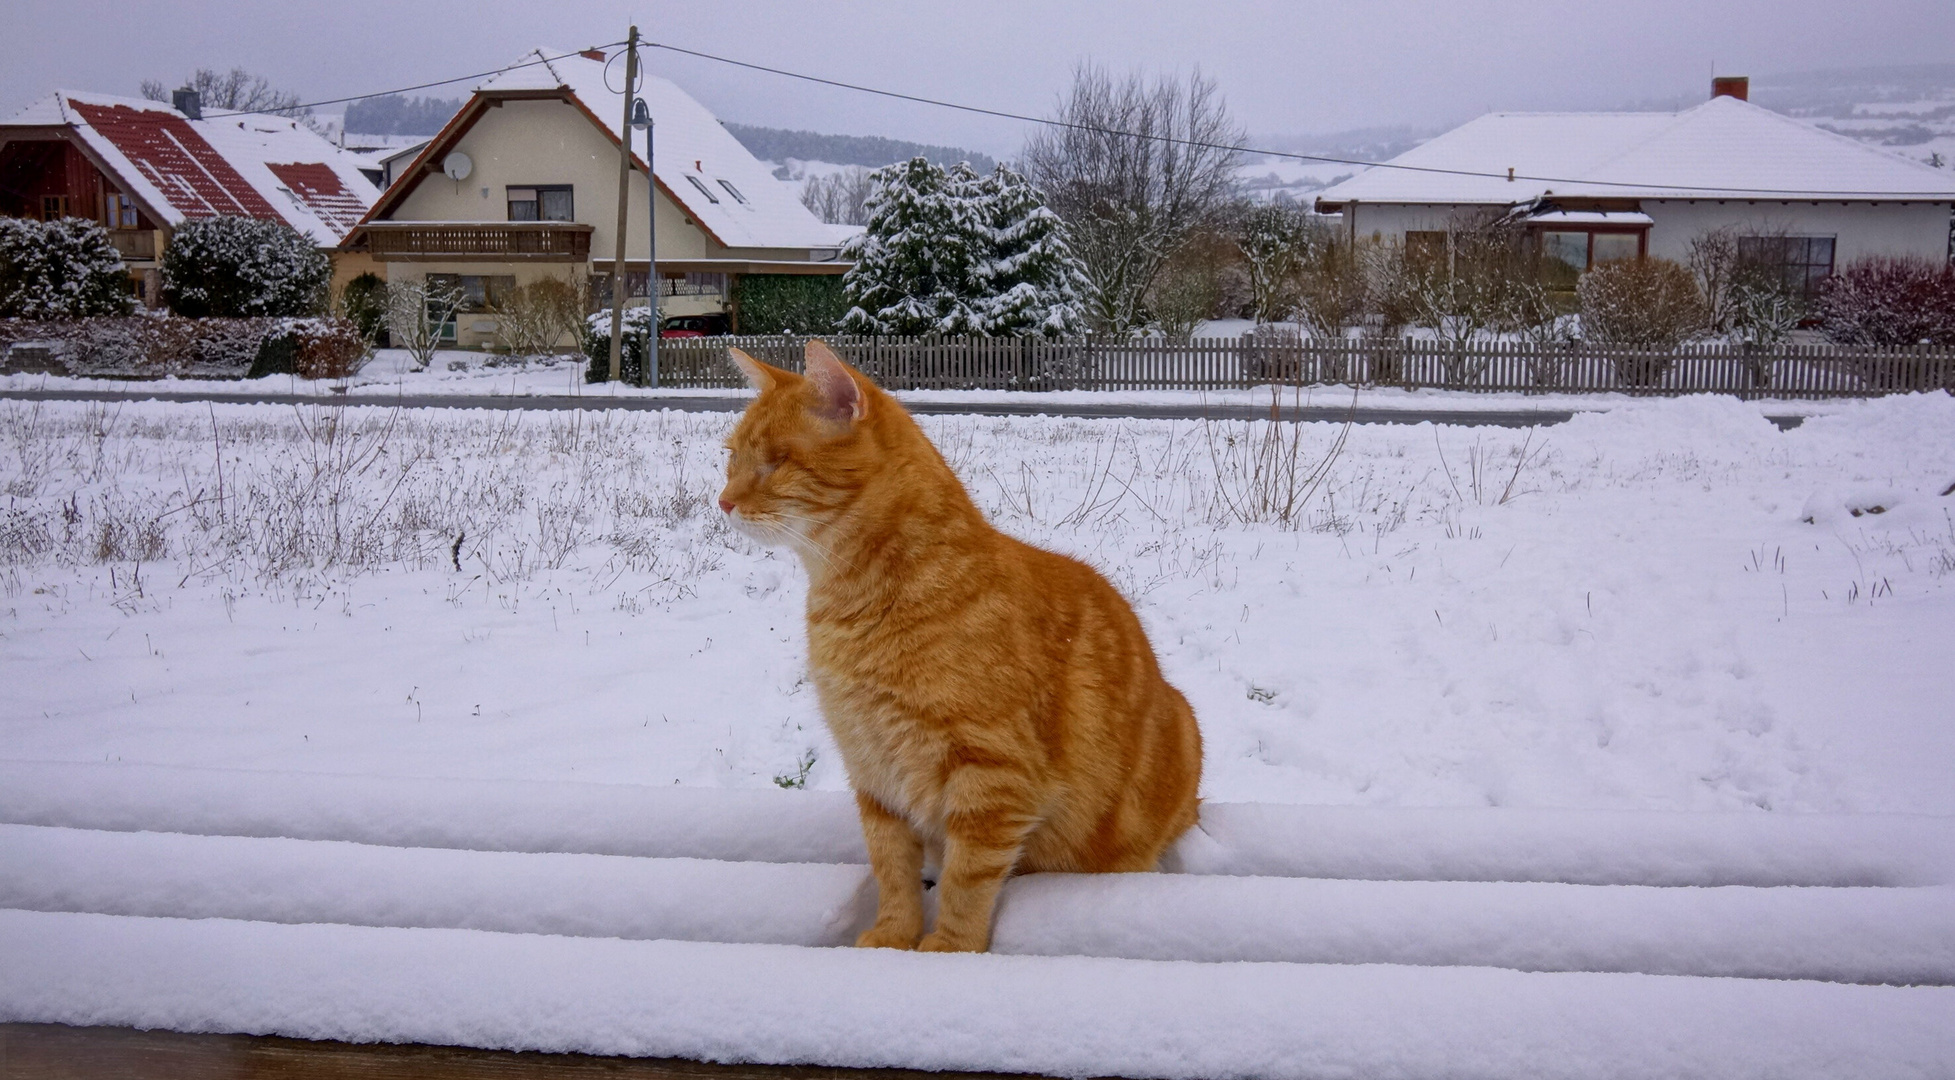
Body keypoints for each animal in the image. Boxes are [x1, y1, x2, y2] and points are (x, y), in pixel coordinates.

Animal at [723, 342, 1204, 950]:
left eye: (778, 461)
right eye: (730, 458)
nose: (723, 502)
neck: (860, 604)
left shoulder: (991, 775)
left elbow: (966, 878)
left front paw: (949, 947)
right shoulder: (874, 771)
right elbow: (892, 866)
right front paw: (893, 935)